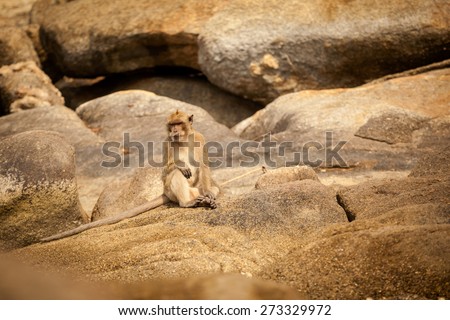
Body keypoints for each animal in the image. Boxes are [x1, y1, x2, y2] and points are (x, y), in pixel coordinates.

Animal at [40, 110, 220, 242]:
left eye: (179, 123)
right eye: (171, 125)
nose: (174, 131)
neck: (183, 139)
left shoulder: (199, 138)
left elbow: (204, 166)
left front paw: (209, 194)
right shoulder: (167, 141)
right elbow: (166, 170)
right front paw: (180, 165)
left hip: (195, 189)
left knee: (215, 186)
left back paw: (205, 199)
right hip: (172, 191)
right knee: (176, 175)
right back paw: (187, 203)